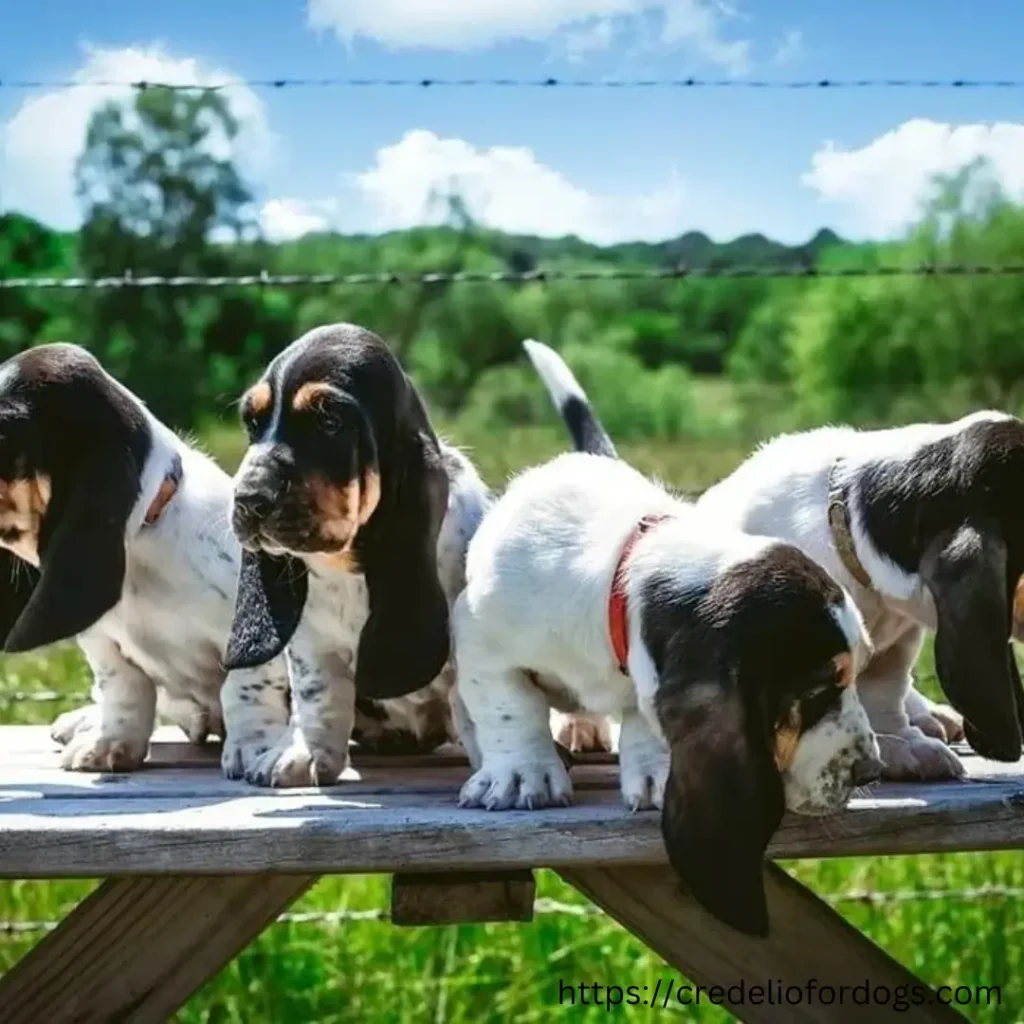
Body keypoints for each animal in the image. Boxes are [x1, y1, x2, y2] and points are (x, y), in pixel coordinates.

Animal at [223, 323, 491, 786]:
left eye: (330, 422)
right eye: (252, 423)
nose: (248, 499)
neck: (347, 564)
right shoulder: (311, 641)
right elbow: (318, 695)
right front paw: (307, 755)